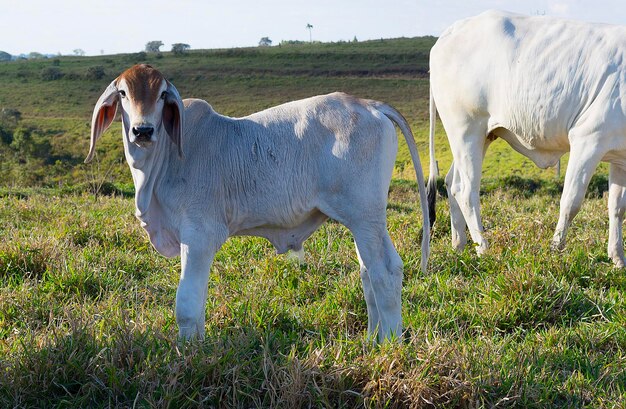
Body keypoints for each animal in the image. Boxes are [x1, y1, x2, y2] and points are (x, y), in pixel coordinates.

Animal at [88, 63, 428, 342]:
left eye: (161, 95)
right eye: (123, 93)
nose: (142, 130)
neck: (164, 162)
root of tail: (369, 105)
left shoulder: (199, 235)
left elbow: (186, 305)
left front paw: (187, 353)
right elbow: (198, 302)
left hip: (366, 217)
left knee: (385, 271)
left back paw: (390, 343)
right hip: (362, 222)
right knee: (368, 272)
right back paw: (372, 340)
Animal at [426, 9, 624, 264]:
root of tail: (448, 34)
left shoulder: (620, 156)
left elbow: (617, 207)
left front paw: (618, 258)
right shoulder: (589, 139)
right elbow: (571, 201)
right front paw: (555, 250)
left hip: (481, 136)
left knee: (451, 182)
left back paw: (459, 246)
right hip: (465, 129)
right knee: (465, 190)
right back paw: (483, 248)